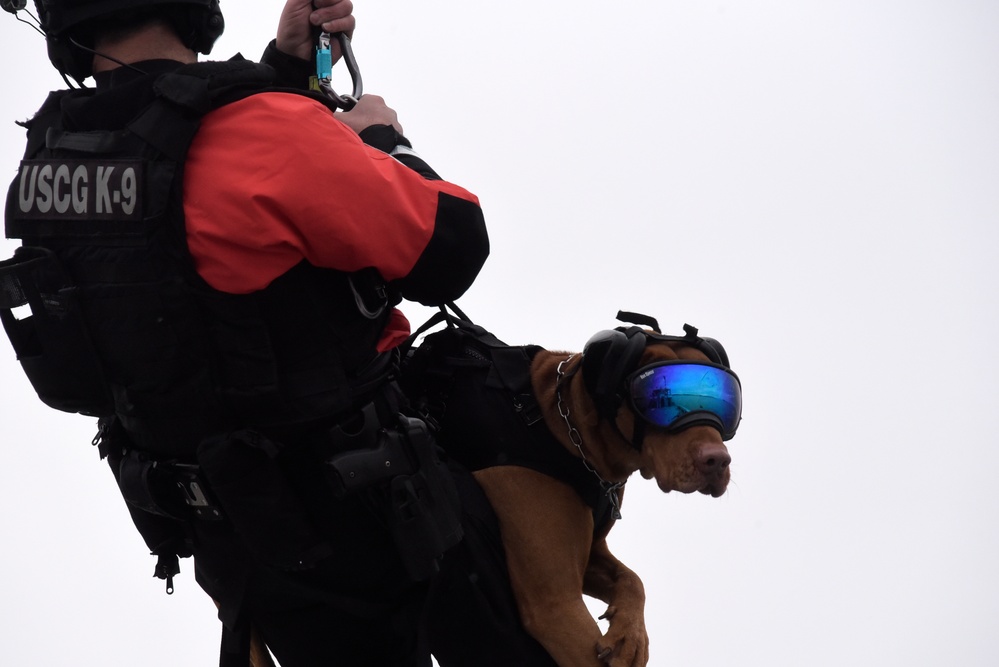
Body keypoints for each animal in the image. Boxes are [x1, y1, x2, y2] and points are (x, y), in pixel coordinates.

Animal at [416, 314, 744, 667]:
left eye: (725, 401)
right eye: (657, 399)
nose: (717, 461)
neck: (566, 429)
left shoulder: (593, 552)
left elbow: (633, 579)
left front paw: (630, 634)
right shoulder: (556, 606)